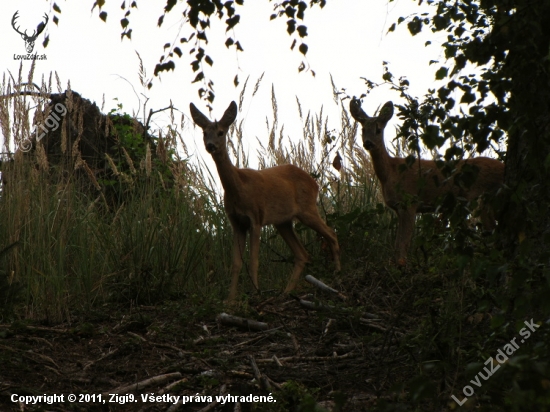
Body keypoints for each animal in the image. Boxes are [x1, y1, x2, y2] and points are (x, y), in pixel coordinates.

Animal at [192, 101, 342, 300]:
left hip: (307, 209)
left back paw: (337, 277)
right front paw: (230, 300)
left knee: (331, 234)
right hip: (283, 222)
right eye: (204, 133)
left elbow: (253, 260)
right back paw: (286, 292)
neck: (239, 189)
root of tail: (314, 182)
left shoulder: (256, 217)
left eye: (221, 132)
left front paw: (255, 293)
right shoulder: (236, 223)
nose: (210, 146)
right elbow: (236, 263)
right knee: (302, 254)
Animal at [352, 98, 506, 266]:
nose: (368, 143)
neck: (390, 173)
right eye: (362, 130)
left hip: (485, 198)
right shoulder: (398, 207)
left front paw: (401, 266)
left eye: (378, 130)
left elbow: (403, 243)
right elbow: (398, 243)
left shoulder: (410, 202)